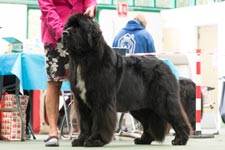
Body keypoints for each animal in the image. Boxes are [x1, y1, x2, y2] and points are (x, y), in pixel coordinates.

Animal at [62, 13, 192, 147]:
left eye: (78, 27)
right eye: (68, 26)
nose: (64, 33)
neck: (84, 60)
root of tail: (165, 64)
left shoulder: (102, 100)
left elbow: (100, 122)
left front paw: (95, 140)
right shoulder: (82, 102)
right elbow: (85, 123)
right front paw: (81, 140)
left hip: (163, 101)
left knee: (177, 117)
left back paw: (180, 139)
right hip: (141, 106)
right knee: (148, 122)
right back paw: (143, 140)